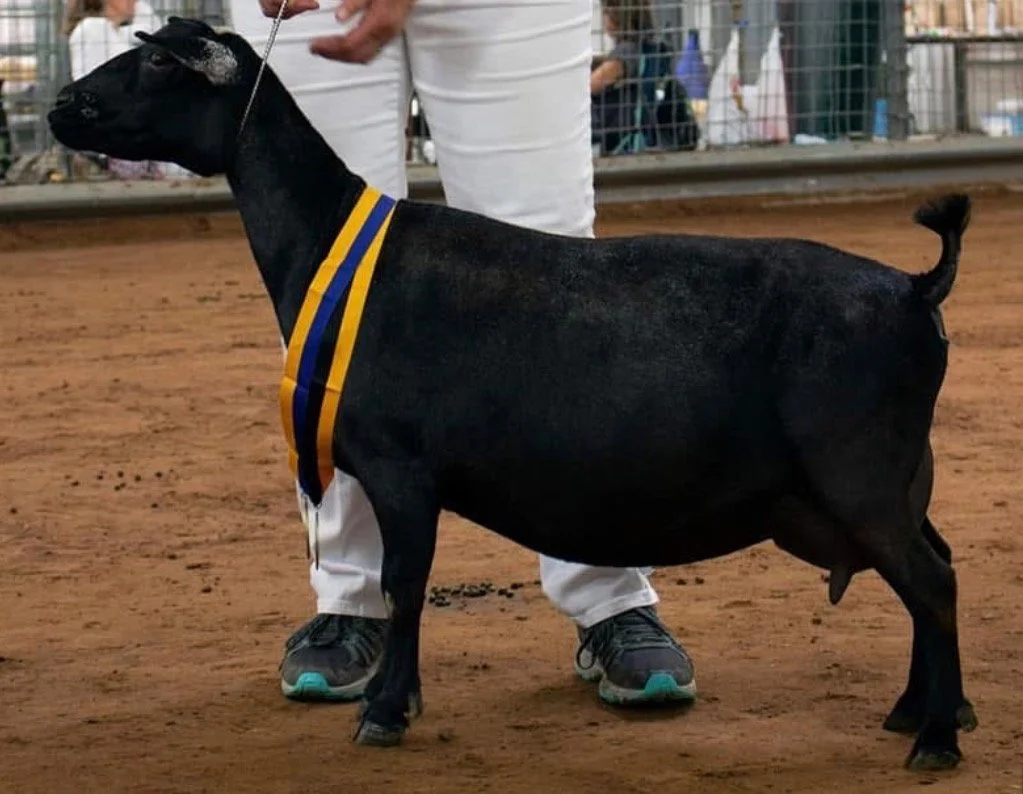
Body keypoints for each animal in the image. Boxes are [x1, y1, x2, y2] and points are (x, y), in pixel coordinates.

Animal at [48, 17, 978, 771]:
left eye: (157, 63)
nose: (62, 105)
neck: (332, 245)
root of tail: (912, 289)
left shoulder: (401, 471)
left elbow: (405, 585)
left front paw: (387, 712)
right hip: (901, 477)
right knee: (934, 565)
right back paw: (921, 712)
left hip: (859, 474)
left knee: (930, 581)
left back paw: (935, 739)